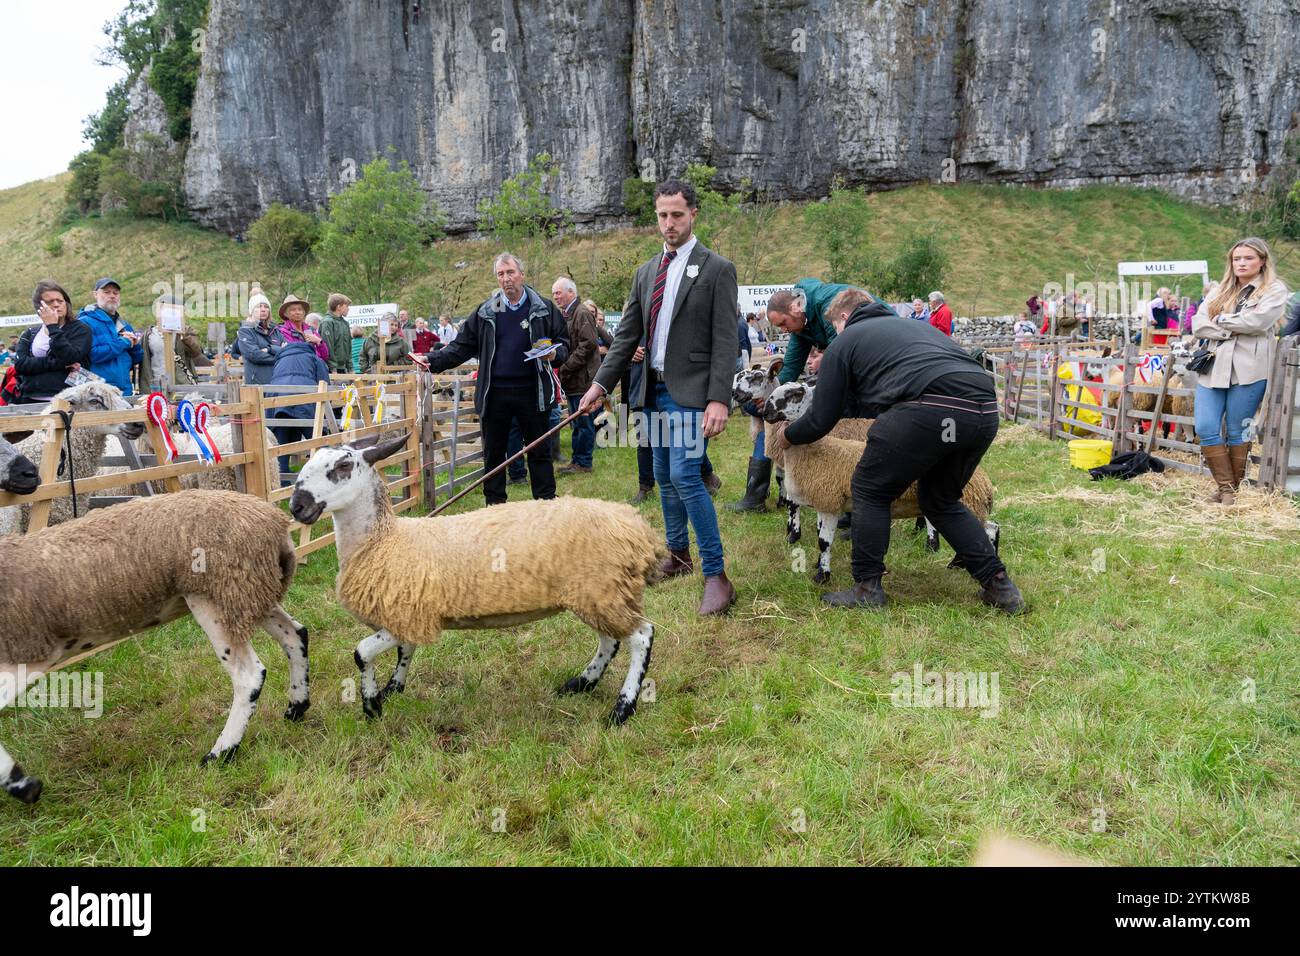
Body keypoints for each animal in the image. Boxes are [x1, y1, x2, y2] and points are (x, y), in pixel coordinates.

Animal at [0, 489, 306, 806]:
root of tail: (274, 524)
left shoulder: (26, 654)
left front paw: (22, 785)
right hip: (252, 593)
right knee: (294, 635)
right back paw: (297, 706)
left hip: (217, 596)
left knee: (249, 675)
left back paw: (220, 753)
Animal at [291, 431, 665, 723]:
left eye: (342, 467)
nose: (296, 506)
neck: (384, 541)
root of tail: (634, 525)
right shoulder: (408, 613)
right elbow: (404, 652)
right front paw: (391, 690)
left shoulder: (407, 616)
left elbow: (361, 653)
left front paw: (371, 705)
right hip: (598, 592)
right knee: (610, 640)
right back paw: (580, 684)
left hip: (601, 590)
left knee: (642, 636)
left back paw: (623, 707)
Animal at [759, 382, 993, 582]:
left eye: (795, 393)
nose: (765, 412)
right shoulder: (825, 494)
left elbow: (802, 514)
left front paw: (798, 542)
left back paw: (942, 552)